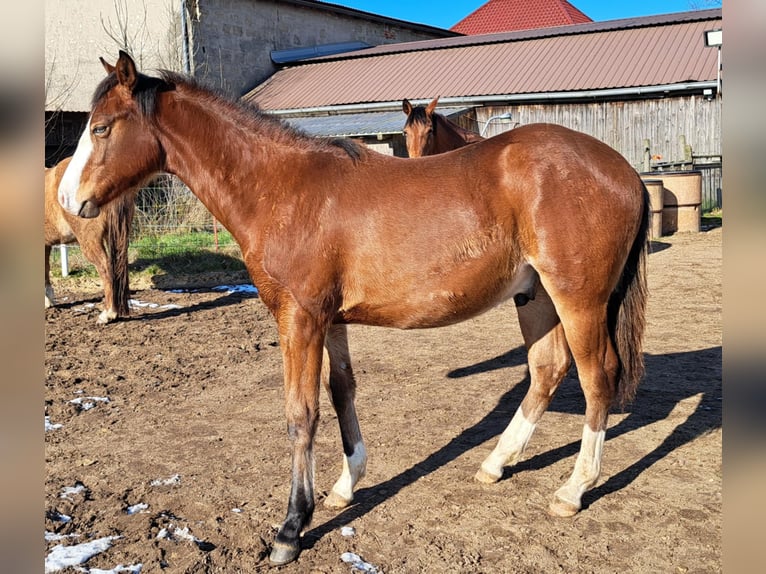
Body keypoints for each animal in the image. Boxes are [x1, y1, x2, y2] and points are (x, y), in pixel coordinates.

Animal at [58, 53, 648, 568]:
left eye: (102, 128)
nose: (66, 200)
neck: (282, 189)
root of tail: (624, 170)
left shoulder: (299, 319)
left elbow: (301, 414)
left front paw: (292, 527)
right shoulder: (330, 321)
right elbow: (341, 392)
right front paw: (345, 485)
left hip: (578, 300)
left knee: (597, 378)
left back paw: (573, 489)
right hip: (536, 296)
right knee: (547, 370)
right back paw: (495, 463)